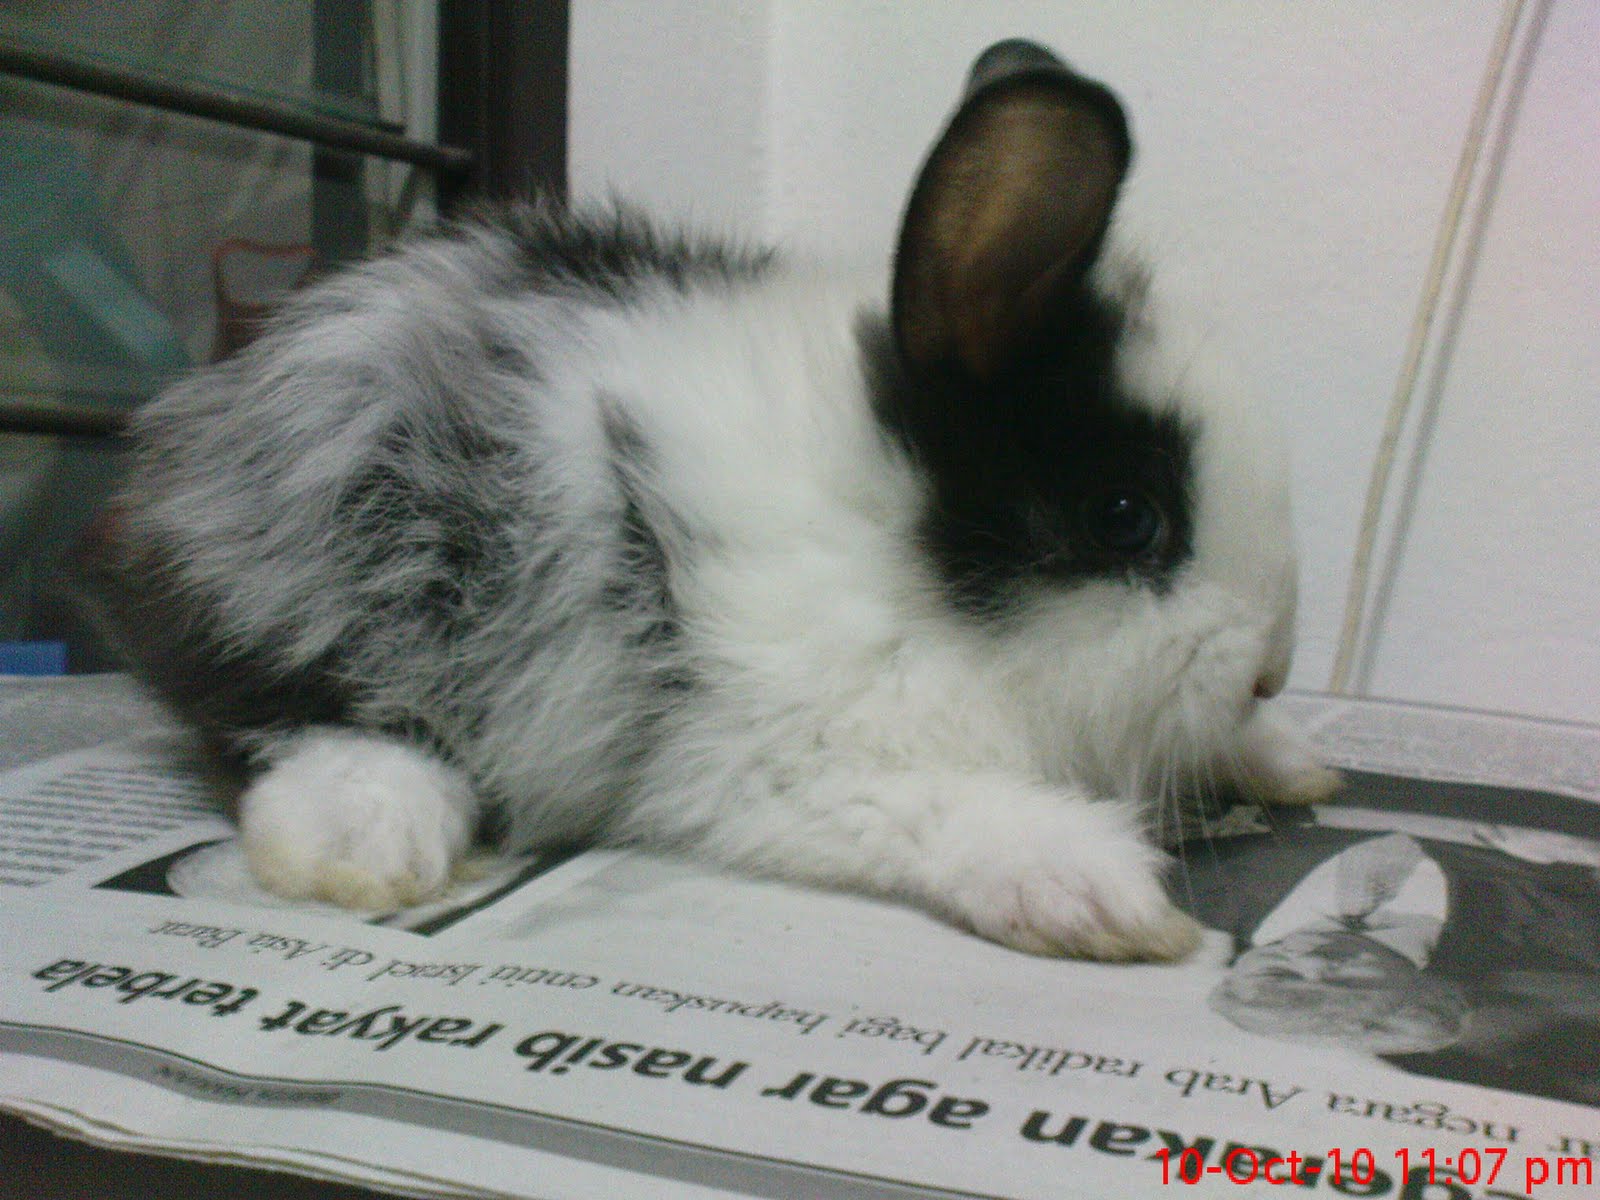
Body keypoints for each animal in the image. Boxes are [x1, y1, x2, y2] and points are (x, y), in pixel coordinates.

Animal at [79, 39, 1338, 961]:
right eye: (1126, 517)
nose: (1271, 672)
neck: (880, 531)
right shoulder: (770, 760)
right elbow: (937, 809)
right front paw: (1103, 898)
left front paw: (1288, 761)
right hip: (330, 562)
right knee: (271, 713)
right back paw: (368, 839)